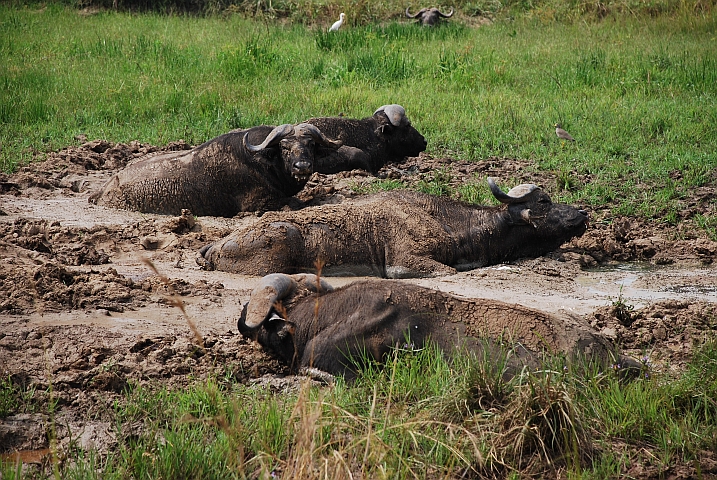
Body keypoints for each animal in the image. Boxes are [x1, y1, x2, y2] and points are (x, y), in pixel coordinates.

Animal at [89, 123, 342, 217]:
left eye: (310, 145)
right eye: (285, 147)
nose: (303, 166)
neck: (264, 161)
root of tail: (105, 189)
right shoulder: (258, 203)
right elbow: (297, 202)